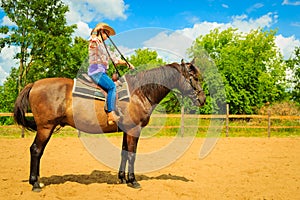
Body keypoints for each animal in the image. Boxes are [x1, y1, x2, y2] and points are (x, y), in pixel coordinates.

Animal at [14, 59, 206, 191]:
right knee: (36, 150)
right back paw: (35, 183)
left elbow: (124, 153)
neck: (139, 93)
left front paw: (122, 178)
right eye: (194, 77)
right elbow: (132, 155)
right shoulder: (134, 129)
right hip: (46, 127)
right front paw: (133, 181)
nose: (202, 99)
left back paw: (37, 181)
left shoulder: (126, 130)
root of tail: (34, 84)